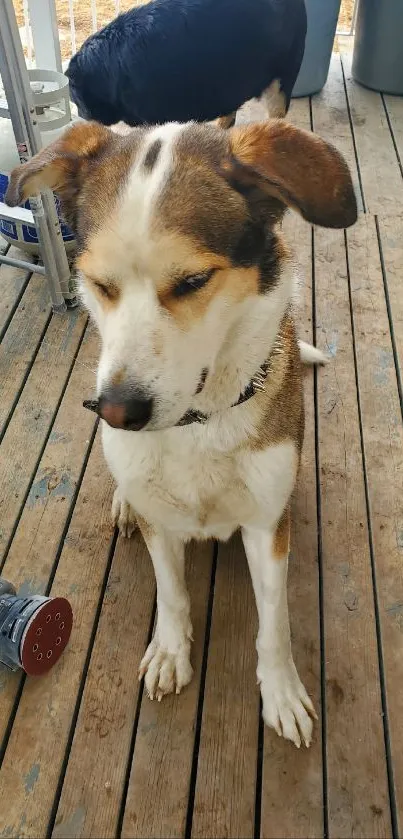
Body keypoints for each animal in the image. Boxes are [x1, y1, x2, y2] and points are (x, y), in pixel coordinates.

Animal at [6, 120, 356, 748]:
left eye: (193, 281)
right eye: (99, 284)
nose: (115, 411)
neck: (198, 423)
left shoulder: (266, 527)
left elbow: (274, 623)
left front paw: (281, 690)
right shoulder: (161, 523)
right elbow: (171, 594)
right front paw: (171, 652)